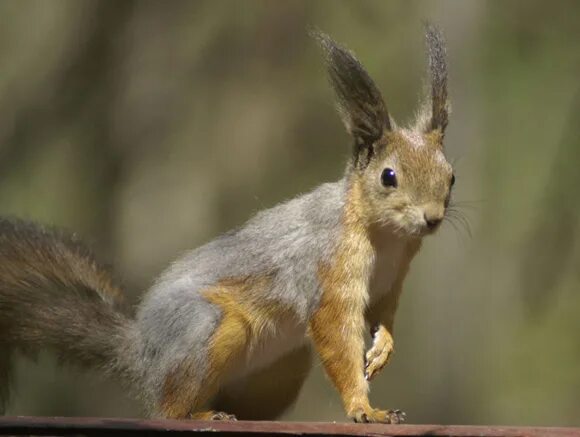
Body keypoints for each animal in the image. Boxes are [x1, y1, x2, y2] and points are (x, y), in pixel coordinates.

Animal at [0, 24, 454, 422]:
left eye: (451, 176)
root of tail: (141, 353)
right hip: (206, 327)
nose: (432, 218)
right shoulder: (327, 271)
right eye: (388, 177)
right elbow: (337, 338)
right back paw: (201, 412)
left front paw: (382, 350)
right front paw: (365, 408)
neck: (384, 237)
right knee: (167, 408)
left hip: (282, 368)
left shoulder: (390, 281)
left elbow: (383, 316)